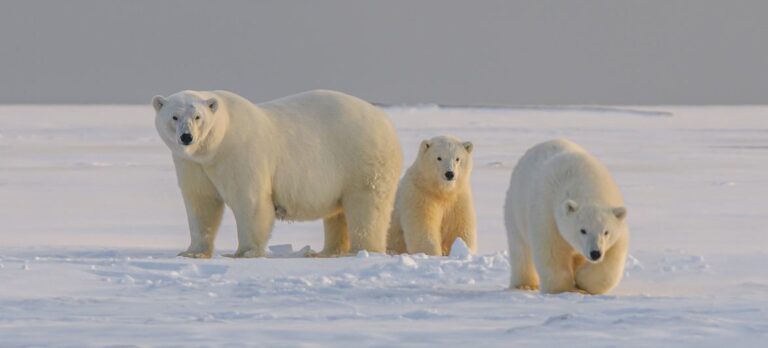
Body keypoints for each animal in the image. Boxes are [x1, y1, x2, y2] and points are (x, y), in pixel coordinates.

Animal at [151, 89, 402, 258]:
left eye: (198, 117)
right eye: (174, 116)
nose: (186, 137)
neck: (215, 146)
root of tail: (386, 121)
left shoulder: (240, 153)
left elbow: (250, 201)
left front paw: (245, 252)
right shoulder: (192, 164)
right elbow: (201, 202)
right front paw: (192, 252)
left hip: (361, 159)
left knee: (366, 206)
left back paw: (363, 250)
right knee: (338, 214)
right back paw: (327, 251)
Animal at [504, 139, 632, 294]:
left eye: (606, 232)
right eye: (583, 230)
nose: (595, 253)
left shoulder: (618, 228)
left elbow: (612, 258)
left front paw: (582, 281)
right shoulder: (548, 214)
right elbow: (551, 252)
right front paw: (565, 288)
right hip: (515, 209)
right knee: (520, 249)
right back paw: (525, 285)